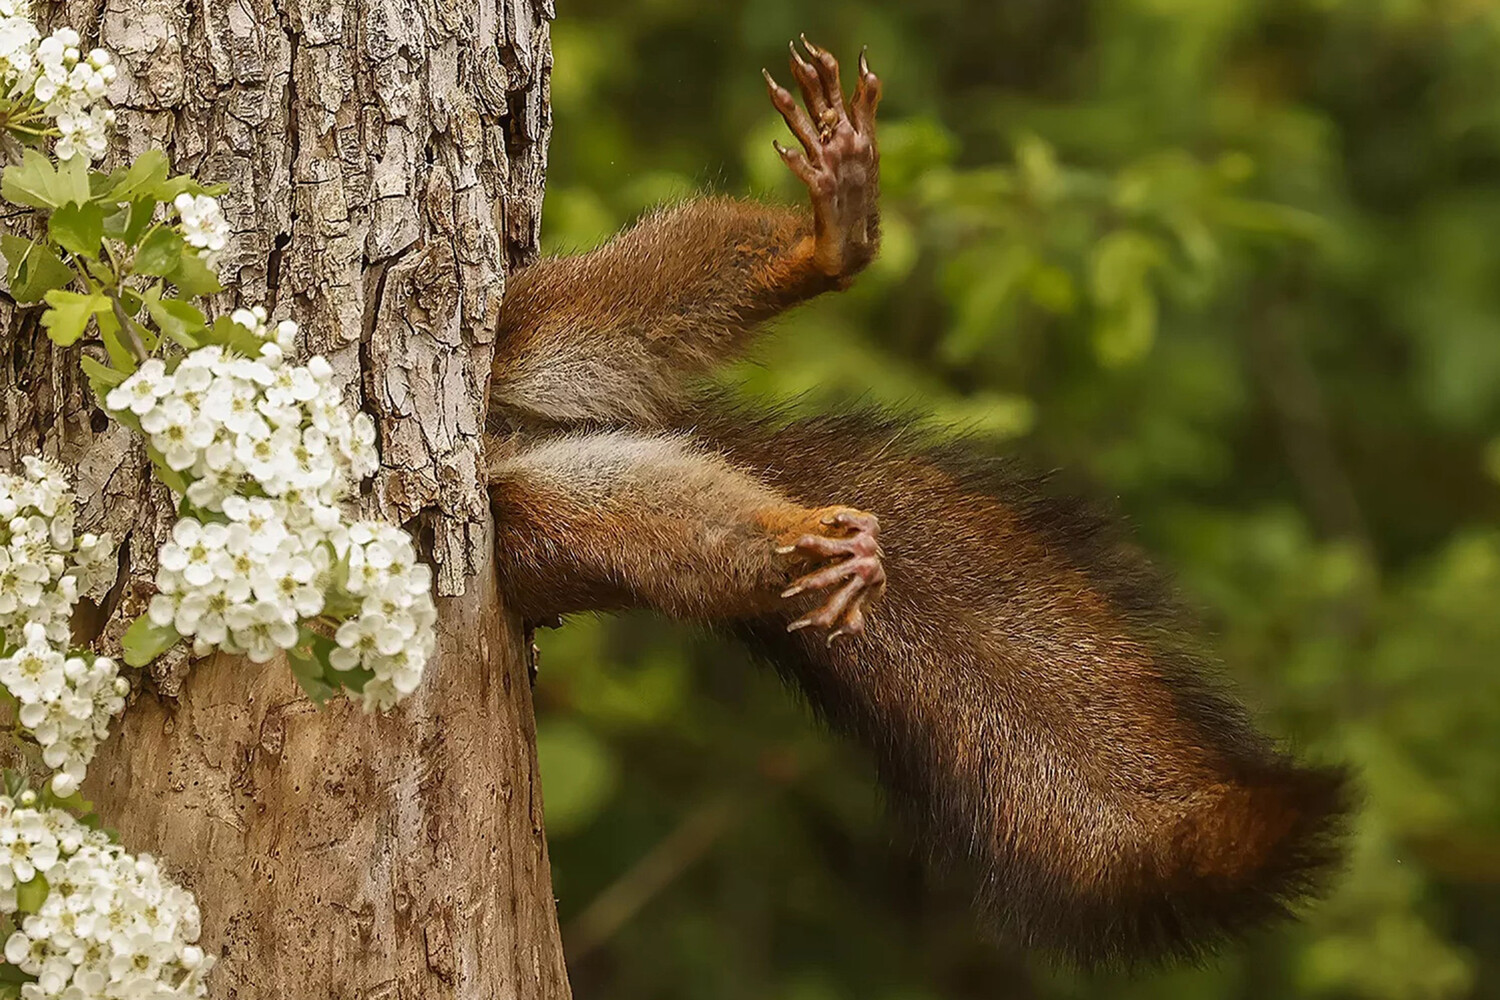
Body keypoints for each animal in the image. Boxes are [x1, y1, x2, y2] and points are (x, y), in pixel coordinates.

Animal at [483, 41, 1350, 971]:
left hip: (529, 329)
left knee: (628, 299)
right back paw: (811, 542)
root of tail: (510, 436)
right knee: (650, 524)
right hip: (537, 521)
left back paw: (831, 241)